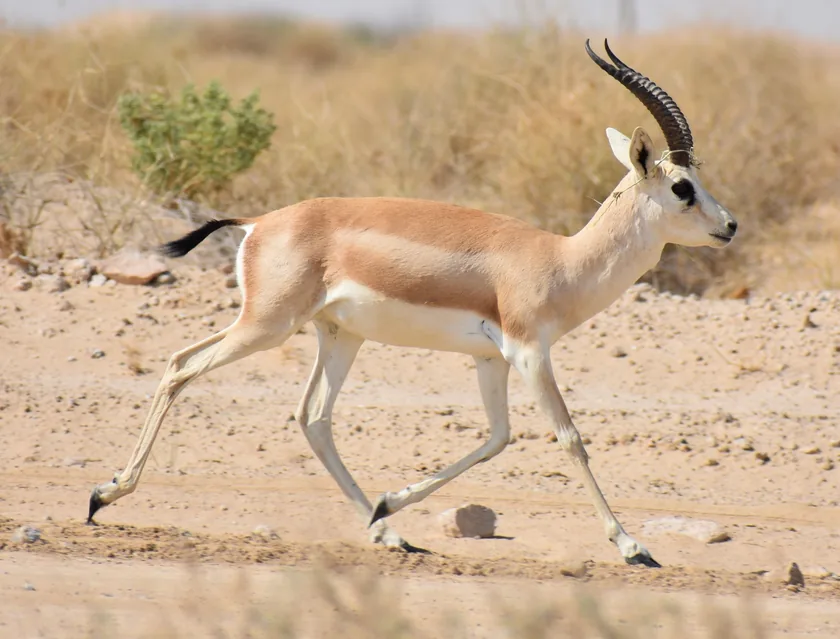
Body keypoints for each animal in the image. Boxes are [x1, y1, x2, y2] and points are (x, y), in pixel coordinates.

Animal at [86, 39, 737, 567]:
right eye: (682, 187)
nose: (730, 226)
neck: (560, 260)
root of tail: (258, 222)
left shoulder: (492, 360)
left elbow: (497, 439)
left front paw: (387, 504)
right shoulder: (530, 353)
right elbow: (570, 438)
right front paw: (633, 546)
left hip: (337, 335)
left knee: (313, 417)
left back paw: (386, 533)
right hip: (267, 325)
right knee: (181, 365)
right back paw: (103, 494)